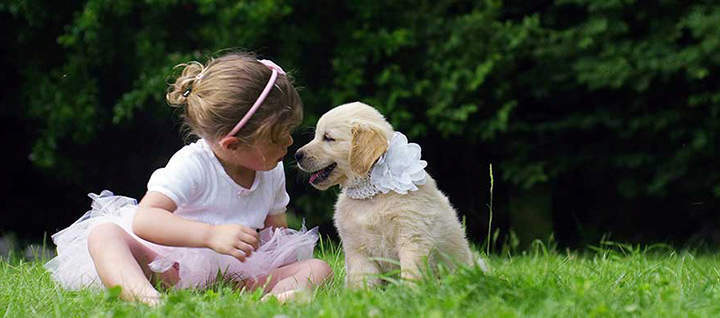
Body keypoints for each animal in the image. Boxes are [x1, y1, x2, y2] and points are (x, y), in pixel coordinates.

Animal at [296, 102, 486, 288]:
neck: (371, 192)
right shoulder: (358, 250)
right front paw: (362, 295)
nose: (297, 155)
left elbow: (411, 274)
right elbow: (363, 282)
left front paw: (409, 293)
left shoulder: (412, 239)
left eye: (328, 138)